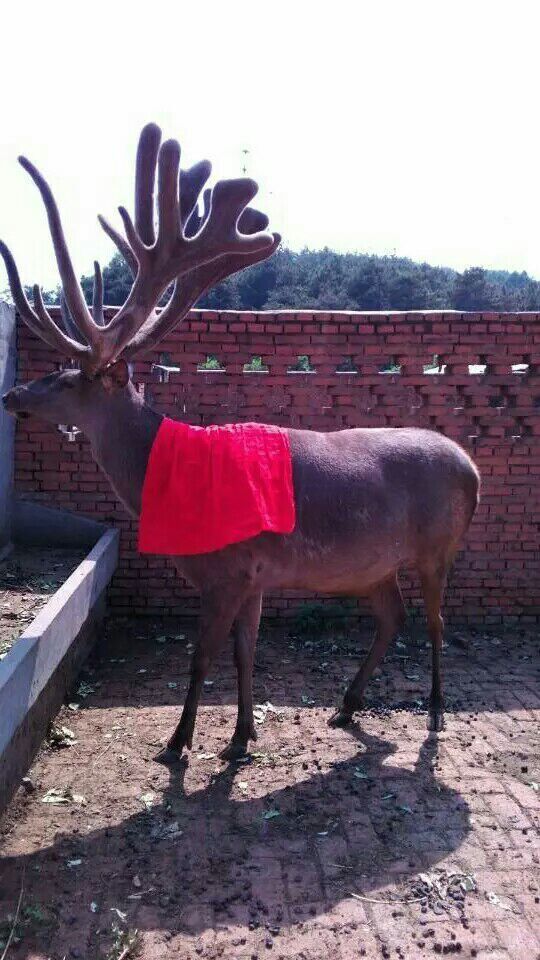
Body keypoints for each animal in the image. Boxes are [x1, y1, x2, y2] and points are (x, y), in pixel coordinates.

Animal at [1, 124, 480, 764]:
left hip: (437, 545)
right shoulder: (254, 575)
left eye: (71, 377)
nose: (13, 395)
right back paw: (347, 705)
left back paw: (434, 707)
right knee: (393, 616)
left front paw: (178, 744)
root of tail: (474, 471)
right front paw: (241, 737)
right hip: (372, 563)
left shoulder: (227, 570)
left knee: (436, 622)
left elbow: (202, 656)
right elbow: (245, 653)